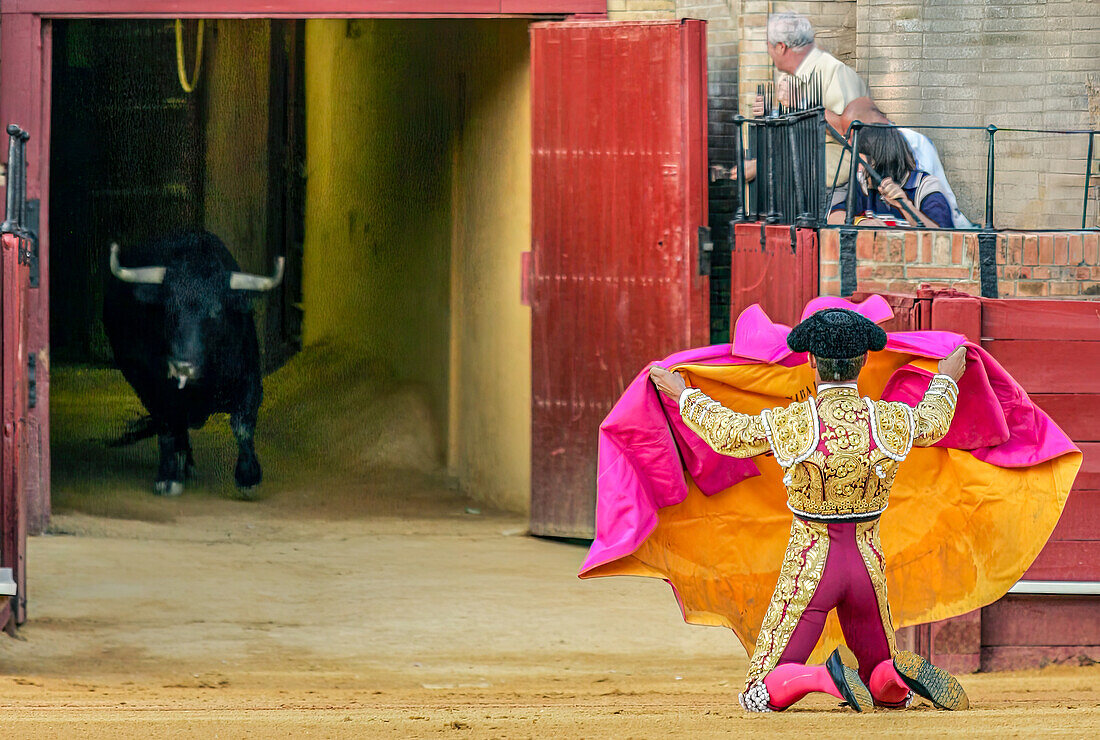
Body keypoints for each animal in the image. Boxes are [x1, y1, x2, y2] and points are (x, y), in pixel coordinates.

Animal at [103, 230, 283, 496]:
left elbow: (242, 425)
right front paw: (168, 476)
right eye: (168, 310)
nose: (182, 366)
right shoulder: (153, 389)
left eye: (216, 312)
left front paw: (248, 476)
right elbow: (168, 426)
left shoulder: (250, 380)